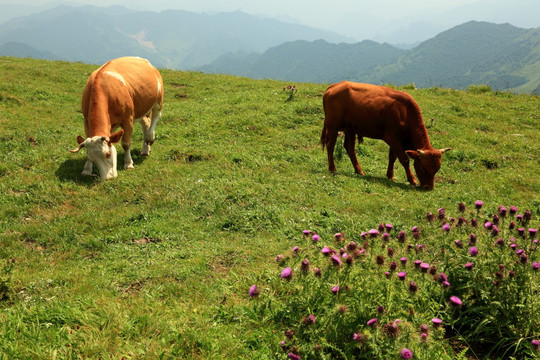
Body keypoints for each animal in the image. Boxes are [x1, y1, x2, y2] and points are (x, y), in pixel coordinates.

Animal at [320, 81, 452, 188]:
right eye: (424, 169)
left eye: (437, 170)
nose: (428, 187)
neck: (405, 113)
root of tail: (335, 85)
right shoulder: (391, 137)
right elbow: (404, 159)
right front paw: (412, 180)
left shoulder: (397, 138)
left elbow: (392, 157)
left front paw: (390, 176)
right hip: (333, 125)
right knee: (330, 145)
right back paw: (332, 168)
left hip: (350, 128)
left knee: (350, 148)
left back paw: (359, 171)